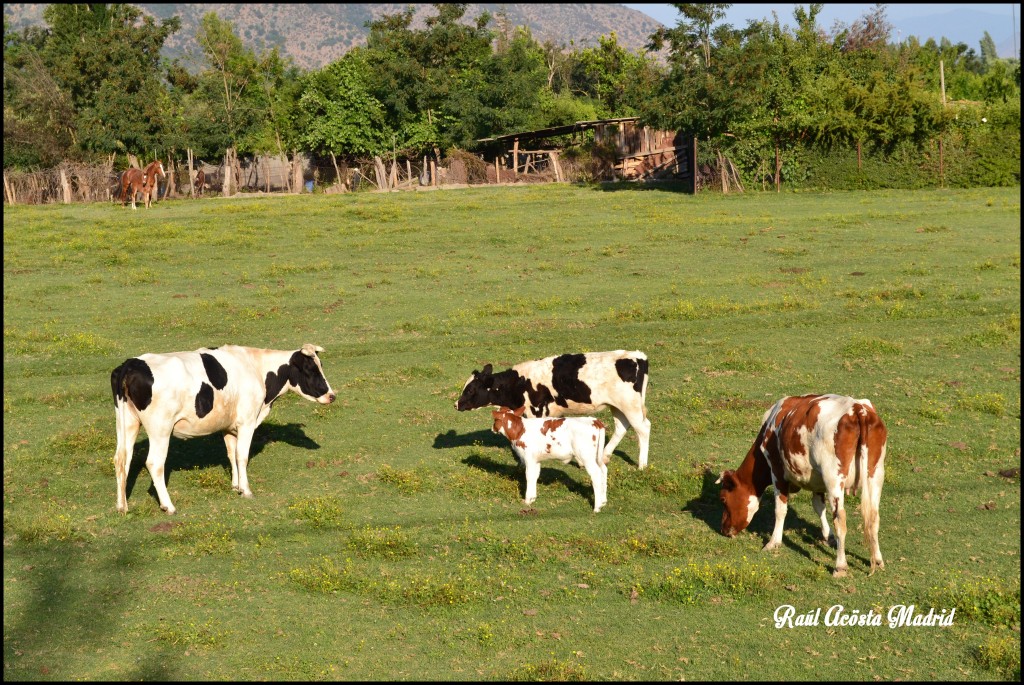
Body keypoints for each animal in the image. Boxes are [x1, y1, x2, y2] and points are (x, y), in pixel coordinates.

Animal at [112, 341, 335, 511]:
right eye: (310, 369)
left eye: (320, 365)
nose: (332, 395)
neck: (256, 368)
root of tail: (131, 364)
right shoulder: (247, 421)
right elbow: (242, 455)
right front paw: (246, 490)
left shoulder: (228, 426)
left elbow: (231, 454)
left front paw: (236, 486)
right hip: (160, 429)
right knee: (154, 463)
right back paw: (169, 506)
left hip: (127, 423)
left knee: (121, 459)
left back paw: (122, 506)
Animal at [454, 350, 651, 466]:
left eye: (470, 389)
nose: (456, 404)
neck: (519, 382)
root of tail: (638, 356)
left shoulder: (536, 412)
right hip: (617, 406)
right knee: (621, 427)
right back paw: (604, 456)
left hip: (630, 405)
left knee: (643, 428)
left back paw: (642, 465)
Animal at [712, 393, 888, 573]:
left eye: (723, 499)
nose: (723, 529)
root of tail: (857, 409)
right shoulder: (817, 480)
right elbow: (819, 507)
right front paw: (828, 536)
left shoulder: (777, 471)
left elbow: (780, 509)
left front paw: (773, 542)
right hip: (876, 474)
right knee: (874, 517)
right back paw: (878, 560)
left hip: (834, 475)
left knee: (840, 519)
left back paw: (840, 566)